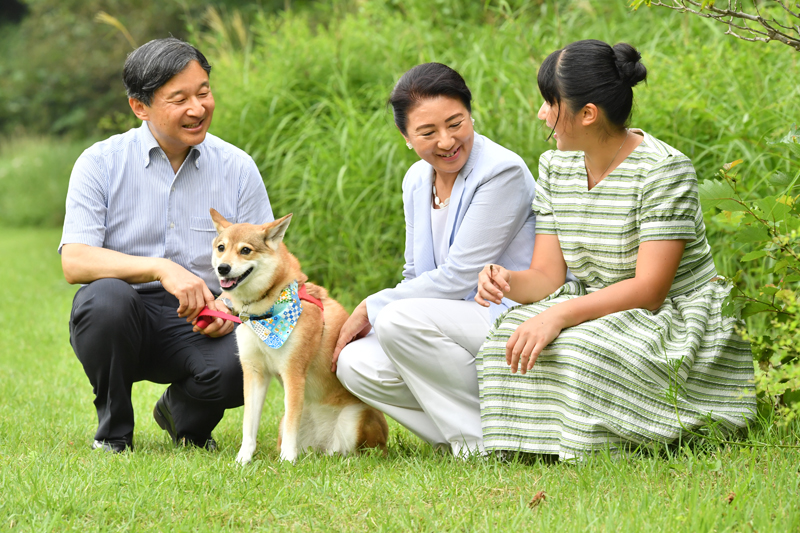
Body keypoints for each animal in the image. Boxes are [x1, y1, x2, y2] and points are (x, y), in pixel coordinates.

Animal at [211, 208, 390, 462]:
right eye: (221, 247)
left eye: (245, 250)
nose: (223, 268)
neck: (264, 315)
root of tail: (323, 447)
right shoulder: (254, 372)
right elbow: (249, 426)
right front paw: (242, 460)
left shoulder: (293, 372)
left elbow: (290, 428)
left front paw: (287, 461)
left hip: (356, 420)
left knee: (366, 451)